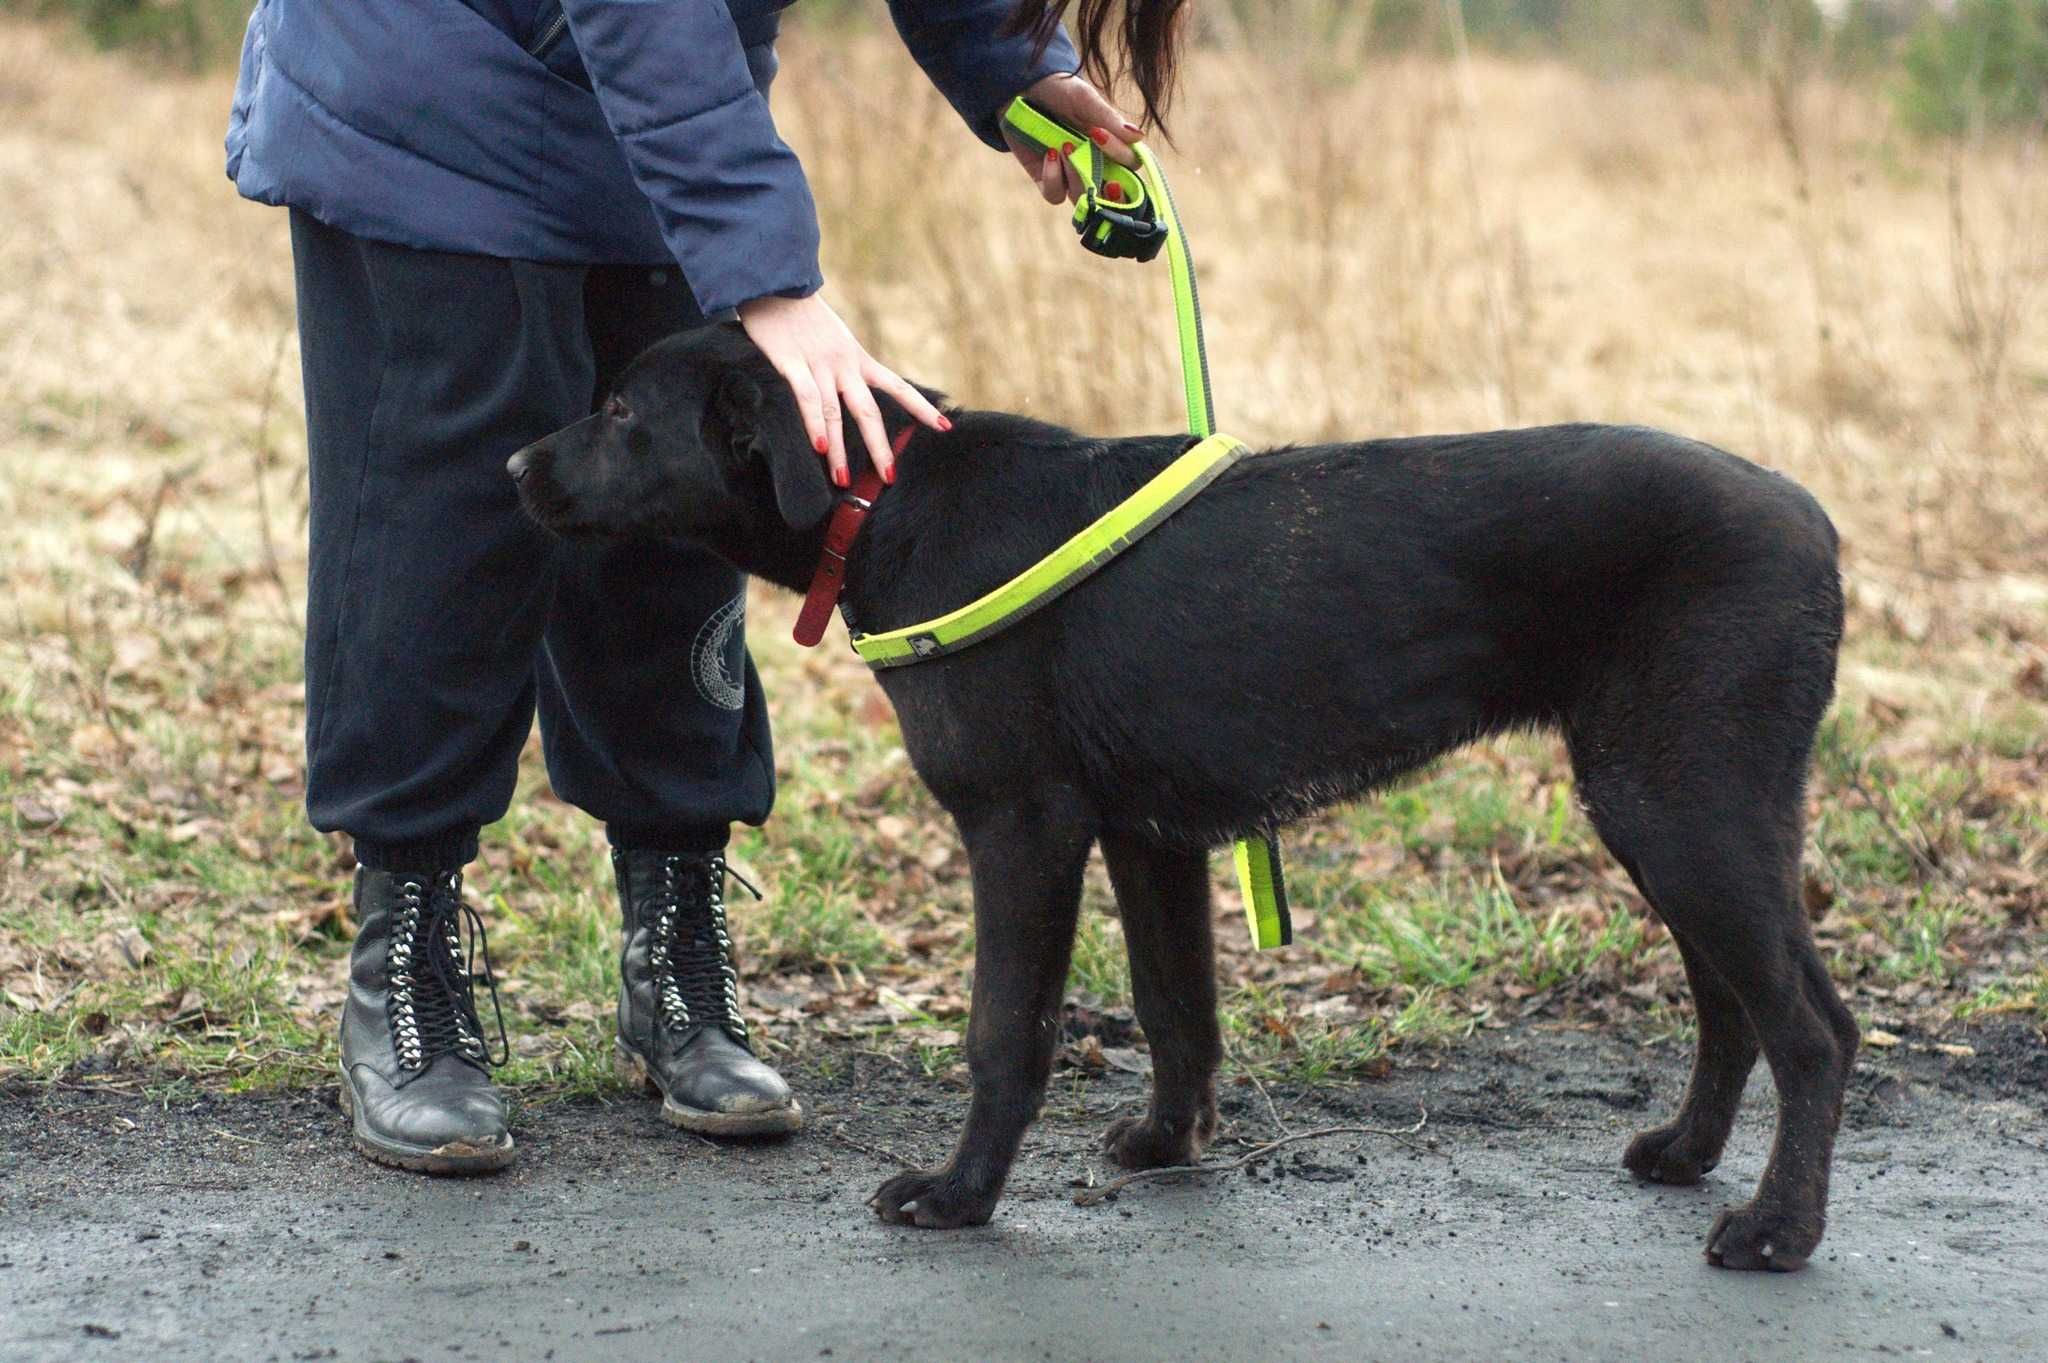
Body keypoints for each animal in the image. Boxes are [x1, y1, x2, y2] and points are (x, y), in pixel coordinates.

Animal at [507, 323, 1859, 1268]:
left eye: (621, 409)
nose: (514, 460)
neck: (886, 504)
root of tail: (1811, 515)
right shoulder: (1147, 835)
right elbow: (1175, 1007)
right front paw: (1168, 1145)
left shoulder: (1022, 827)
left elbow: (1006, 1030)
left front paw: (959, 1194)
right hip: (1666, 808)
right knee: (1733, 1004)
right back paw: (1685, 1154)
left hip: (1679, 801)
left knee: (1809, 1027)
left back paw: (1775, 1230)